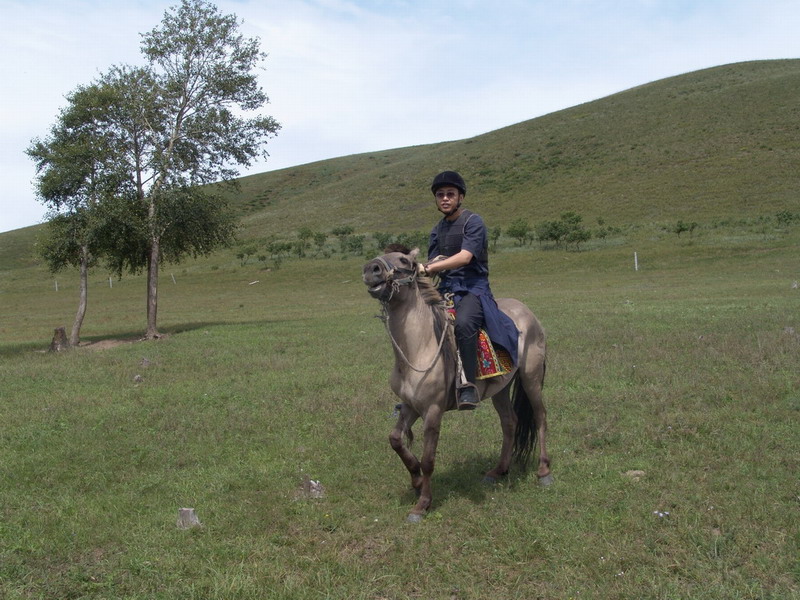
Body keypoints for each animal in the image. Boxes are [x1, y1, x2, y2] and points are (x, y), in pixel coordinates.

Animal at [360, 246, 552, 524]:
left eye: (404, 260)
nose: (371, 269)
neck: (419, 347)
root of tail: (527, 312)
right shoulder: (410, 406)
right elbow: (396, 440)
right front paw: (416, 480)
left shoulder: (433, 410)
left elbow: (429, 460)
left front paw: (422, 504)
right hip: (501, 389)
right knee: (510, 422)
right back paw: (498, 471)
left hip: (531, 378)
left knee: (540, 417)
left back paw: (544, 471)